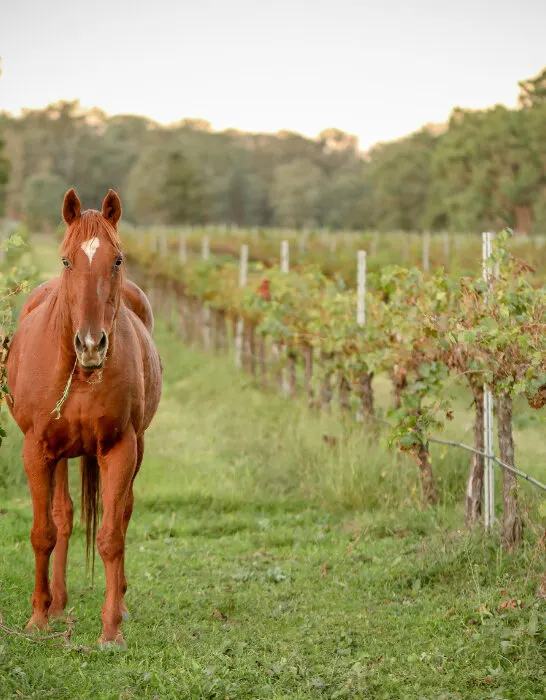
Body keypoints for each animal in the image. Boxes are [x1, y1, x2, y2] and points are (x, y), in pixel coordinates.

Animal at [6, 189, 162, 648]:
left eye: (118, 259)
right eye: (66, 261)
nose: (91, 345)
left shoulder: (120, 448)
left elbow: (111, 536)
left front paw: (111, 630)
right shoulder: (36, 450)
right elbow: (44, 532)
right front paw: (38, 619)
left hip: (133, 449)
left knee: (121, 513)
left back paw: (120, 605)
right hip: (58, 456)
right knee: (63, 518)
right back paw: (57, 604)